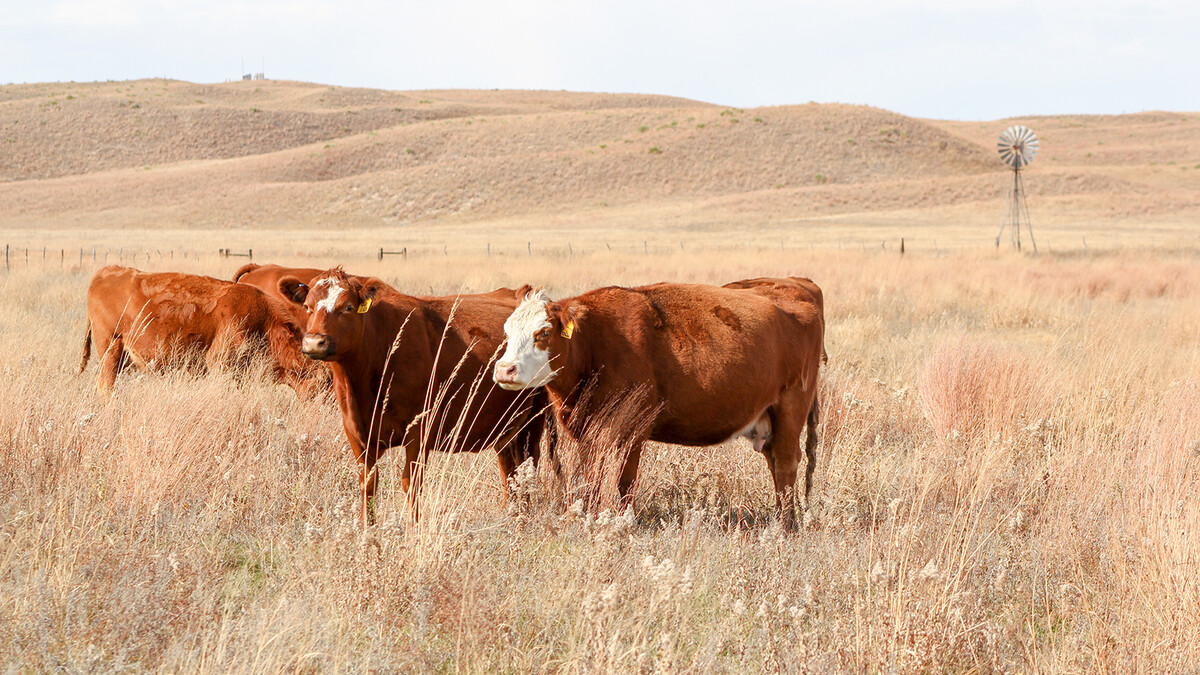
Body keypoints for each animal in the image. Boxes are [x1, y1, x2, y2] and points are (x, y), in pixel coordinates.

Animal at [80, 265, 325, 398]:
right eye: (325, 384)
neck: (264, 321)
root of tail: (106, 272)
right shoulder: (220, 363)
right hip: (111, 351)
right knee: (106, 387)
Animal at [286, 268, 551, 525]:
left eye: (348, 307)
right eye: (307, 306)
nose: (314, 342)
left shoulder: (419, 431)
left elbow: (411, 483)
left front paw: (414, 529)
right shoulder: (356, 433)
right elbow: (368, 483)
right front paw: (367, 531)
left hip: (533, 420)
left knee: (528, 467)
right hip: (506, 427)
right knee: (510, 473)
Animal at [493, 277, 825, 530]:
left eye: (543, 332)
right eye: (507, 331)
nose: (504, 369)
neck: (596, 341)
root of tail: (798, 286)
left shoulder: (633, 427)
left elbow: (625, 480)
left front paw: (622, 522)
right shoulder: (587, 431)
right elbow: (593, 477)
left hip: (790, 407)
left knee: (785, 463)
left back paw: (786, 527)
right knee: (776, 464)